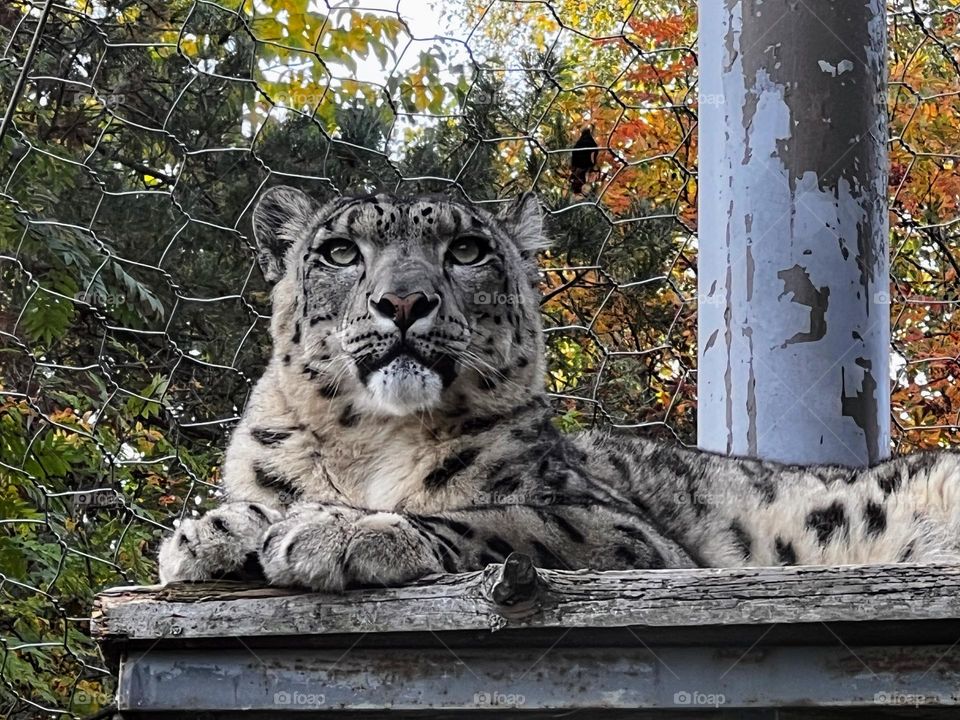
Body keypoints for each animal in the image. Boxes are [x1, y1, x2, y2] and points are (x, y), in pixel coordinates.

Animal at [158, 187, 960, 592]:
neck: (373, 445)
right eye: (338, 252)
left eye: (467, 249)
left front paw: (341, 530)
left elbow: (499, 520)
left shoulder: (616, 529)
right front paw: (216, 531)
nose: (404, 302)